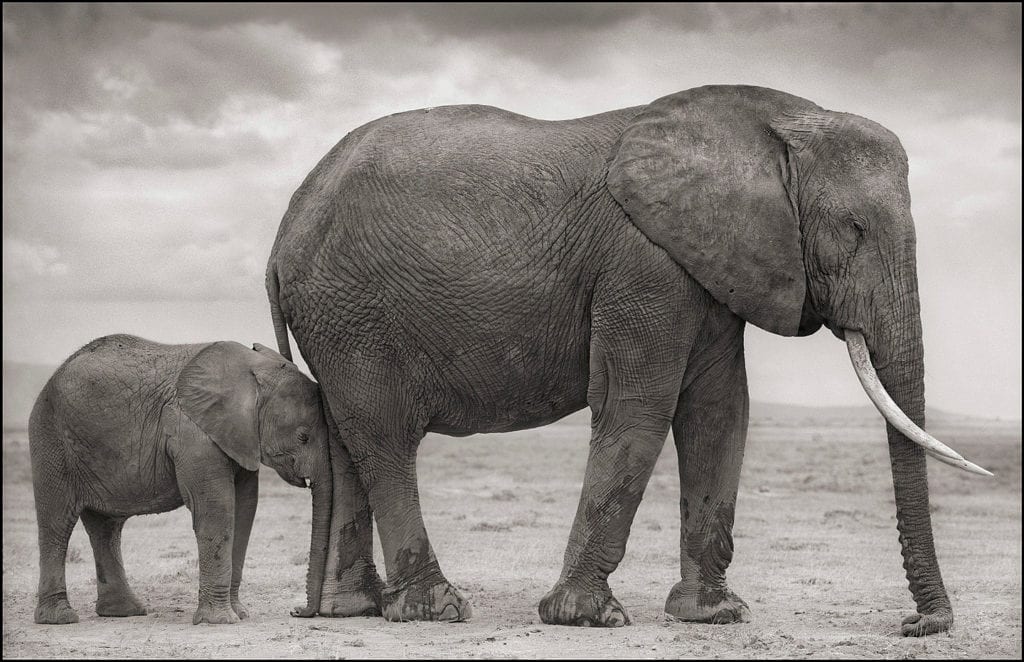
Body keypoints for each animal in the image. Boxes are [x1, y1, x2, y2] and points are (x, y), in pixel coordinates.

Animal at [29, 334, 333, 625]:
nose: (297, 611)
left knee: (106, 528)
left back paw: (124, 612)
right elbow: (216, 511)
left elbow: (244, 510)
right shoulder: (192, 432)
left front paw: (239, 614)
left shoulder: (240, 438)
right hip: (51, 438)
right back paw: (60, 618)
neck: (252, 370)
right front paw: (219, 621)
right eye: (303, 436)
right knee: (57, 523)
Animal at [264, 85, 990, 635]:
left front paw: (713, 616)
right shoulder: (643, 266)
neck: (773, 123)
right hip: (352, 314)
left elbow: (720, 415)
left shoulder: (705, 269)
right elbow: (638, 408)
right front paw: (587, 618)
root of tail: (282, 232)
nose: (916, 625)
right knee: (384, 439)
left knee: (345, 442)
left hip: (338, 320)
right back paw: (437, 609)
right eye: (853, 230)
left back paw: (353, 609)